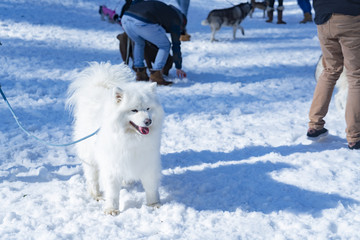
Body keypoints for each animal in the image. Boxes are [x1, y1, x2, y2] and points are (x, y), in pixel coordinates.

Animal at [67, 62, 164, 216]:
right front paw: (111, 209)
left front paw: (154, 204)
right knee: (92, 178)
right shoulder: (112, 165)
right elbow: (112, 192)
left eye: (148, 108)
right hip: (89, 157)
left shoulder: (148, 162)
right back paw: (96, 195)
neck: (131, 139)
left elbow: (151, 186)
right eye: (134, 110)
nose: (148, 121)